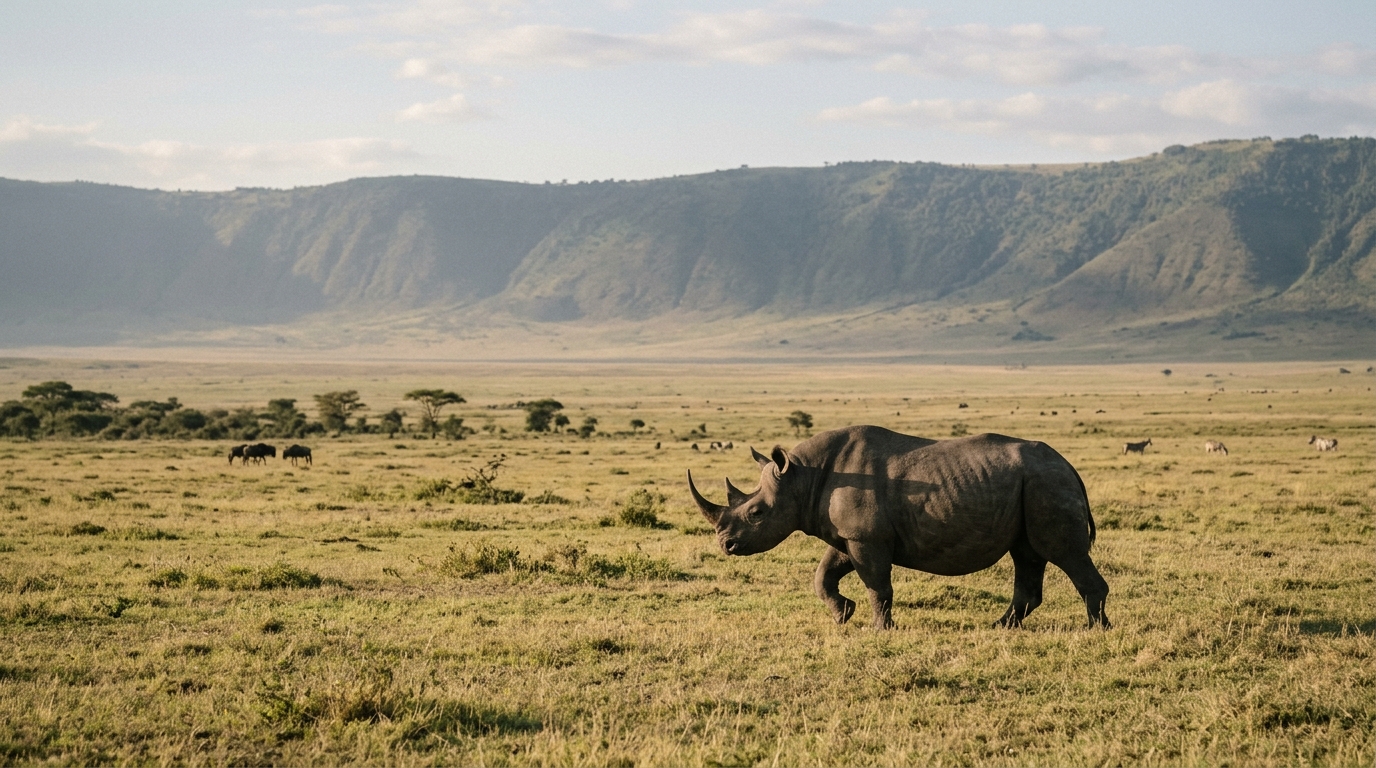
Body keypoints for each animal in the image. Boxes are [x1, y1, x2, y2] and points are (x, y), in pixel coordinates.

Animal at [688, 426, 1110, 630]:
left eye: (757, 513)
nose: (725, 545)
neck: (801, 478)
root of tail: (1069, 465)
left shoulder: (867, 537)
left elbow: (878, 585)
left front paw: (879, 628)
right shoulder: (850, 535)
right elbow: (824, 574)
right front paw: (843, 614)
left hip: (1047, 482)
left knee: (1063, 553)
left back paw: (1096, 630)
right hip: (1034, 485)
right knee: (1027, 555)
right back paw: (1001, 627)